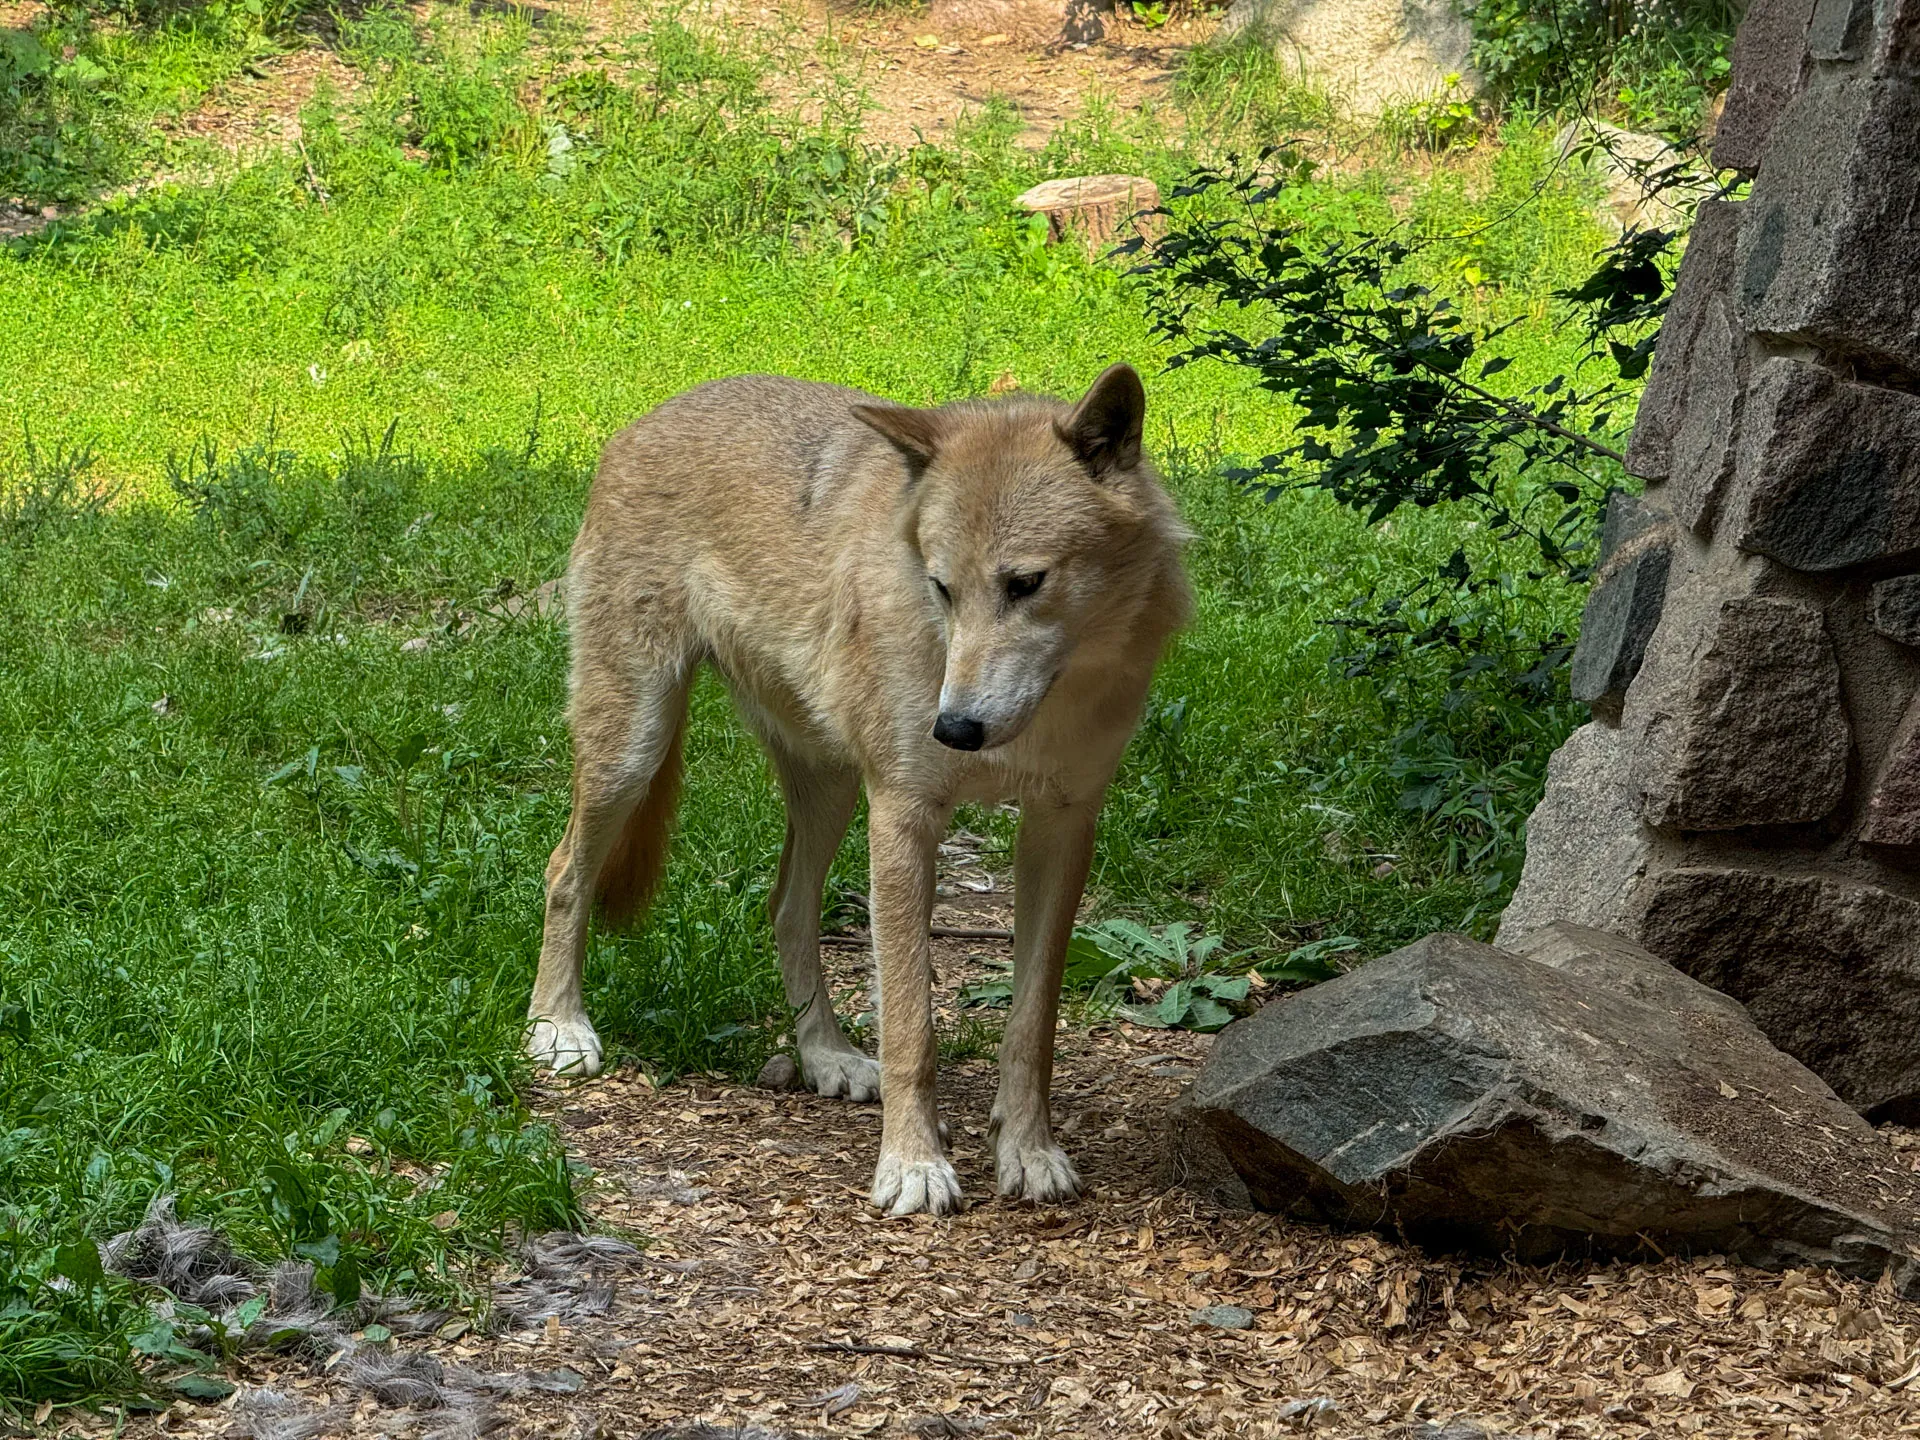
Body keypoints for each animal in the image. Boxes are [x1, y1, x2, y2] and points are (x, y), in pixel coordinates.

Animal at [525, 363, 1192, 1216]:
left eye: (1025, 583)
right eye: (942, 588)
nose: (955, 729)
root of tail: (647, 417)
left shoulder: (1062, 824)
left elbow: (1031, 1022)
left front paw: (1028, 1151)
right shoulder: (905, 815)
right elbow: (912, 1026)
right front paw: (913, 1167)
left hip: (832, 786)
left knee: (784, 906)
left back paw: (826, 1057)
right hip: (634, 750)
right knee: (564, 872)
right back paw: (558, 1027)